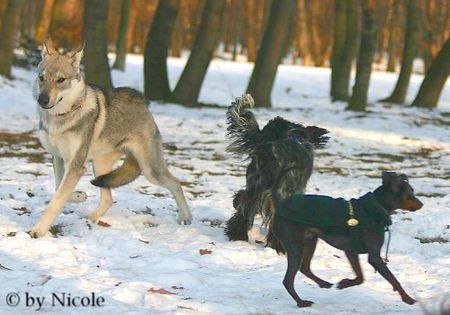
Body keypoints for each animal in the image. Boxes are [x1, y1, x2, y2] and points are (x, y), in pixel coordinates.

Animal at [272, 173, 424, 308]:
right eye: (410, 194)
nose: (422, 204)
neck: (376, 207)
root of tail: (279, 205)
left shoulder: (351, 252)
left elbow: (360, 278)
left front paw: (344, 283)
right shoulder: (374, 257)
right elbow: (393, 279)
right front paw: (408, 299)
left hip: (310, 241)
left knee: (304, 268)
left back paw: (324, 283)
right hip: (295, 246)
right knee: (288, 280)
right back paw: (301, 302)